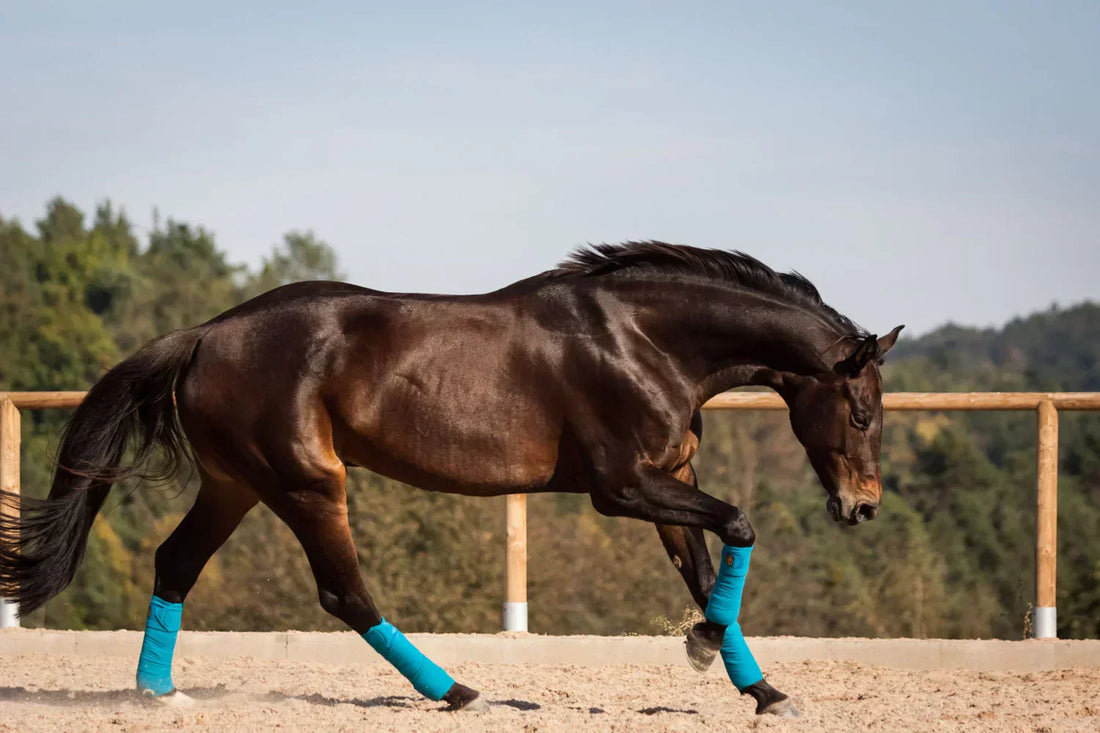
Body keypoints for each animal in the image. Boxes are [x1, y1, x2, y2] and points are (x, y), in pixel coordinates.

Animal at [0, 241, 901, 715]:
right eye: (862, 413)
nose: (862, 507)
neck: (643, 339)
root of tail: (203, 335)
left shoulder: (668, 479)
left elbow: (706, 562)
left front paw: (759, 685)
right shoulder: (622, 485)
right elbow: (740, 523)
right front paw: (705, 644)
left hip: (237, 484)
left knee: (176, 564)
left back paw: (157, 694)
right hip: (305, 483)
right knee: (344, 593)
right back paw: (460, 689)